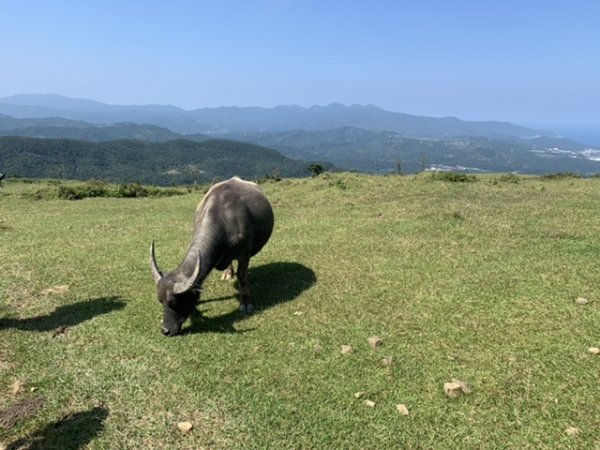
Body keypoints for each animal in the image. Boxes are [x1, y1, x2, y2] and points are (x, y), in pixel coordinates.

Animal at [150, 178, 274, 336]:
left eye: (176, 302)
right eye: (161, 301)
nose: (165, 330)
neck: (224, 219)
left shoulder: (244, 254)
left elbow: (242, 276)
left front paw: (246, 303)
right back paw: (228, 273)